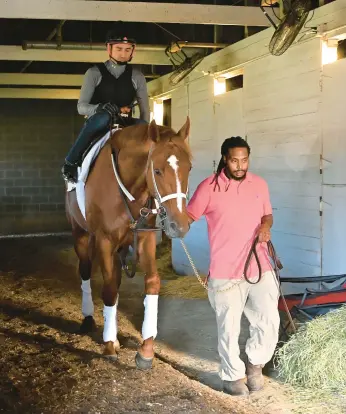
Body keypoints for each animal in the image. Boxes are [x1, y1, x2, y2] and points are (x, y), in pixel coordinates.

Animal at [63, 117, 191, 368]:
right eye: (157, 170)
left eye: (189, 167)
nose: (179, 225)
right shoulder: (104, 240)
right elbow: (109, 289)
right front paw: (108, 345)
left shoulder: (144, 237)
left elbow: (152, 283)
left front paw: (146, 349)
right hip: (81, 234)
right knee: (86, 271)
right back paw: (89, 319)